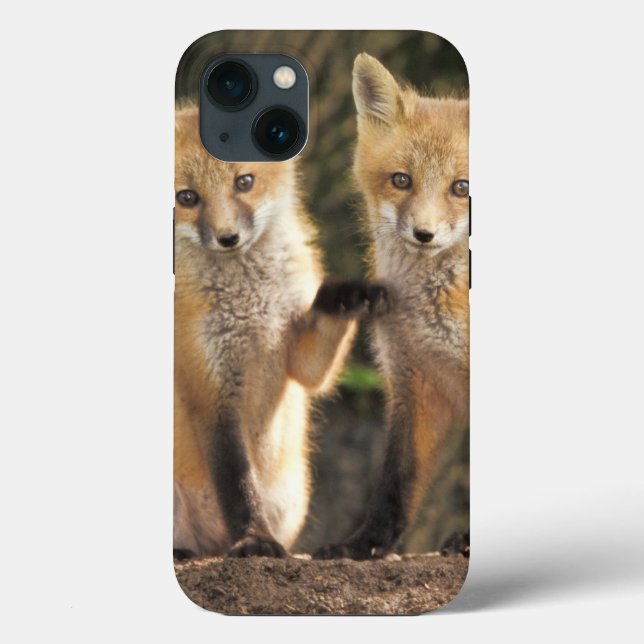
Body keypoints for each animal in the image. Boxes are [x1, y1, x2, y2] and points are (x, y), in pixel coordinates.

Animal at [173, 102, 386, 559]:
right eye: (186, 197)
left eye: (244, 182)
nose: (228, 238)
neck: (251, 304)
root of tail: (209, 544)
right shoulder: (209, 388)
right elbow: (238, 484)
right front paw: (254, 538)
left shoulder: (298, 357)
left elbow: (315, 362)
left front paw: (348, 295)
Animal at [316, 54, 469, 559]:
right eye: (401, 180)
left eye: (461, 187)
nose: (424, 234)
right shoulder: (412, 383)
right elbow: (395, 482)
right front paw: (363, 545)